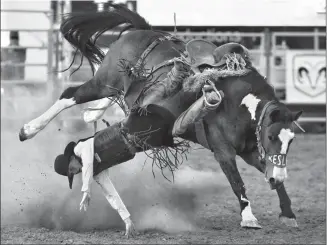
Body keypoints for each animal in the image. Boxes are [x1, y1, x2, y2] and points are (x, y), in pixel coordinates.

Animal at [19, 3, 302, 229]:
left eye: (290, 140)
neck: (238, 102)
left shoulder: (251, 151)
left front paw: (287, 212)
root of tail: (141, 30)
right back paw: (28, 130)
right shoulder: (223, 150)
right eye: (271, 136)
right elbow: (237, 182)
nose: (277, 177)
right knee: (69, 95)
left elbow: (270, 171)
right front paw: (249, 217)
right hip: (103, 81)